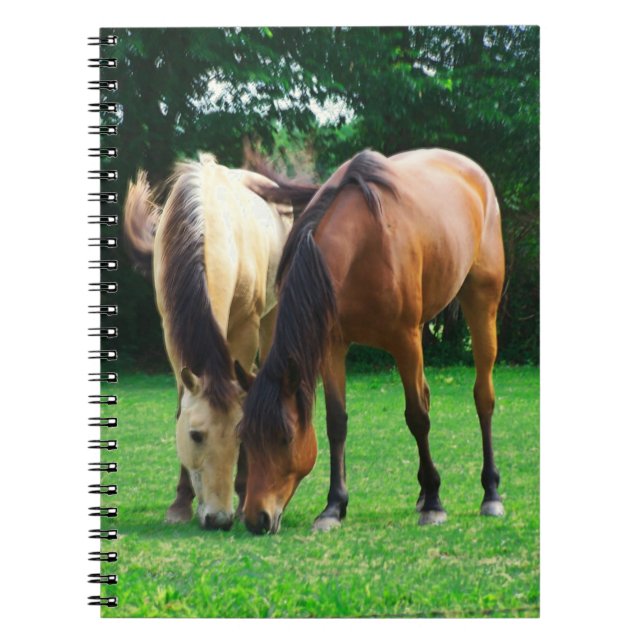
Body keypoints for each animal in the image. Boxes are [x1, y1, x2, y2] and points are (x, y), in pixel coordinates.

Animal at [124, 153, 314, 529]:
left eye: (240, 437)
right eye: (195, 435)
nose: (219, 518)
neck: (208, 225)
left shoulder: (246, 327)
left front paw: (242, 498)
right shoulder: (170, 333)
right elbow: (181, 403)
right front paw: (180, 503)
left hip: (270, 319)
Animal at [236, 148, 506, 534]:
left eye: (285, 437)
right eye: (244, 438)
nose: (257, 518)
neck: (362, 246)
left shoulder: (405, 340)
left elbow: (417, 417)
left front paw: (435, 504)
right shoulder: (332, 346)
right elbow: (336, 422)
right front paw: (334, 506)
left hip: (481, 305)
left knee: (483, 397)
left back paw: (490, 493)